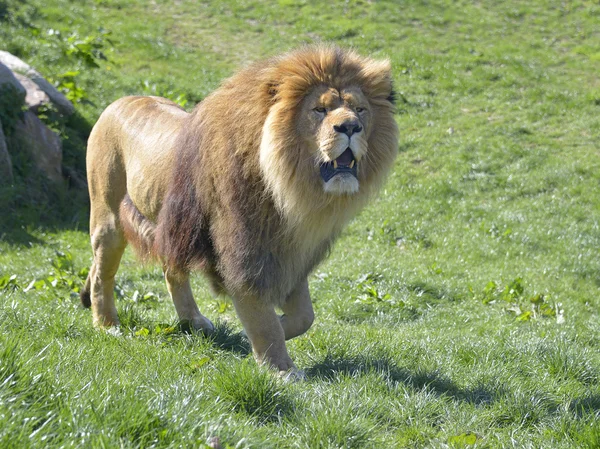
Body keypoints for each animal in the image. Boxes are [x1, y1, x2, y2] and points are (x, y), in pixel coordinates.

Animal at [79, 44, 398, 374]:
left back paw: (194, 321)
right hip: (107, 217)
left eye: (359, 109)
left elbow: (305, 316)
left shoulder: (291, 255)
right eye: (319, 110)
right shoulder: (244, 251)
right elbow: (261, 315)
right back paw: (107, 325)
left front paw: (256, 337)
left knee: (169, 270)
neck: (292, 193)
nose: (350, 127)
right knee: (103, 273)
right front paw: (281, 369)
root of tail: (119, 101)